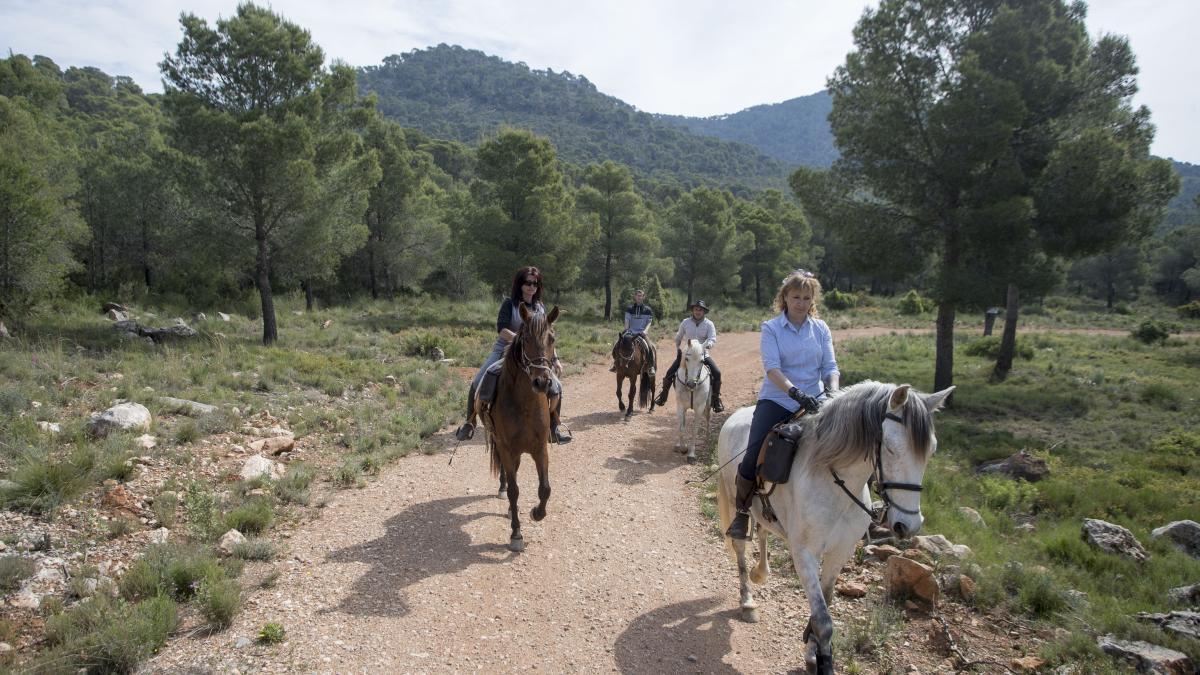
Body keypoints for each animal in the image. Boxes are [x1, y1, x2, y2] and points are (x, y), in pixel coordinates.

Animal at [477, 302, 561, 550]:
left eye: (552, 338)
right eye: (526, 339)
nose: (542, 382)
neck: (523, 404)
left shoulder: (540, 449)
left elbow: (545, 489)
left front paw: (537, 513)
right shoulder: (507, 448)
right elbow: (515, 491)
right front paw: (516, 534)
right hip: (501, 444)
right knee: (507, 474)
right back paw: (502, 490)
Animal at [710, 381, 955, 667]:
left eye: (931, 451)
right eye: (891, 448)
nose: (909, 525)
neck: (836, 483)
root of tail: (735, 417)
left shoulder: (840, 552)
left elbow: (824, 604)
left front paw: (812, 649)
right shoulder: (805, 554)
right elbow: (823, 620)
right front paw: (822, 658)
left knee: (762, 531)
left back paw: (761, 573)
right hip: (734, 500)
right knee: (740, 547)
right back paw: (747, 601)